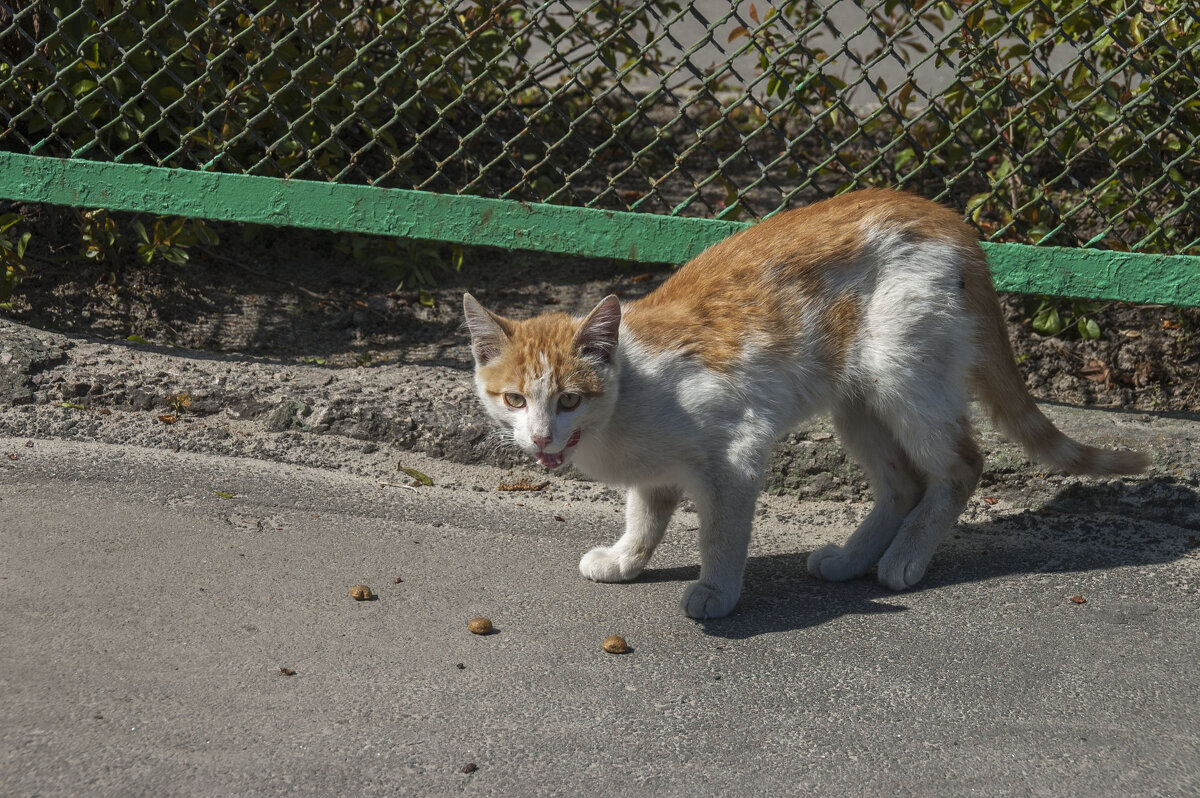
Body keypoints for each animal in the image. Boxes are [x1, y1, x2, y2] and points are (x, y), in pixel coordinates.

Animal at [458, 189, 1142, 619]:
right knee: (903, 483)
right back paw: (855, 558)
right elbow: (646, 515)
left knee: (962, 465)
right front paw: (627, 558)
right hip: (857, 402)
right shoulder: (656, 473)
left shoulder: (735, 452)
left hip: (902, 373)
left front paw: (716, 592)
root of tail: (944, 215)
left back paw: (906, 557)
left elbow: (721, 534)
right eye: (514, 399)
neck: (629, 398)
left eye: (571, 399)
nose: (540, 437)